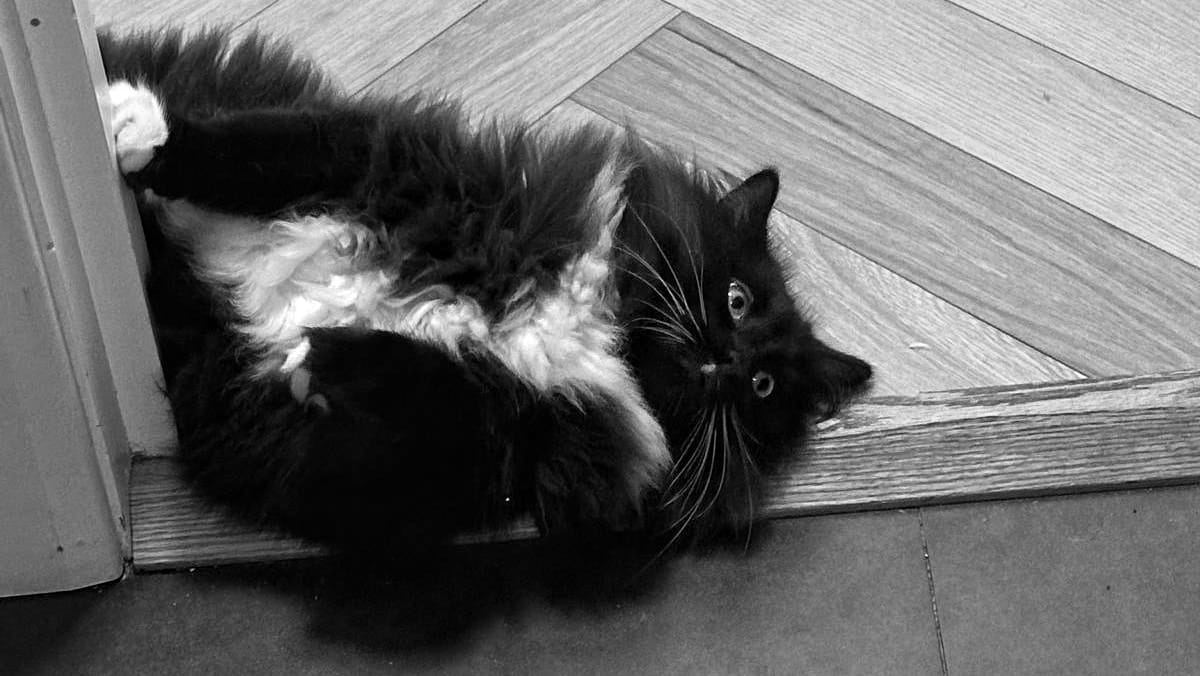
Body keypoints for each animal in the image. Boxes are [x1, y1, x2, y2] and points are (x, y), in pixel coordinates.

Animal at [100, 26, 873, 554]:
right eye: (737, 300)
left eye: (763, 389)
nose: (729, 361)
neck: (587, 326)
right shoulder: (386, 163)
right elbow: (253, 149)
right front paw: (138, 127)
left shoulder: (463, 449)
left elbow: (419, 386)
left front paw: (324, 358)